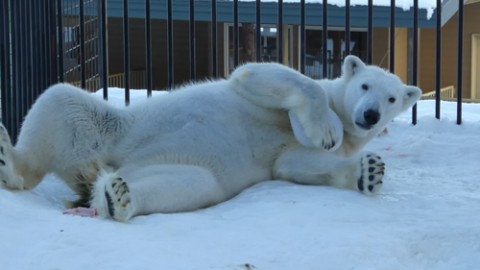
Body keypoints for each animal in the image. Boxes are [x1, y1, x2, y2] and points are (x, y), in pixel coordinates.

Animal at [0, 55, 420, 221]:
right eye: (365, 85)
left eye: (392, 98)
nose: (370, 115)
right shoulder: (266, 88)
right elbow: (259, 75)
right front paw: (324, 128)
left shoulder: (297, 152)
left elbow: (292, 164)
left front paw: (369, 172)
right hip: (114, 130)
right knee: (60, 103)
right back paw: (10, 164)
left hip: (179, 169)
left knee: (182, 185)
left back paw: (116, 197)